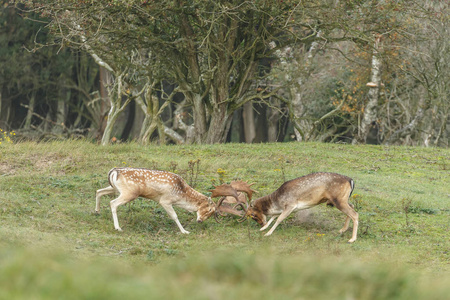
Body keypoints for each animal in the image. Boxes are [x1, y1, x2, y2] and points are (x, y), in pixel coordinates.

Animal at [95, 168, 239, 233]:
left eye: (211, 213)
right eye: (209, 209)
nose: (200, 221)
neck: (181, 194)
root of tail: (114, 171)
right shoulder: (165, 200)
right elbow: (174, 216)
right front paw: (184, 231)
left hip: (116, 188)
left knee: (99, 191)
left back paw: (97, 211)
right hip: (129, 193)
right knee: (112, 203)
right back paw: (118, 227)